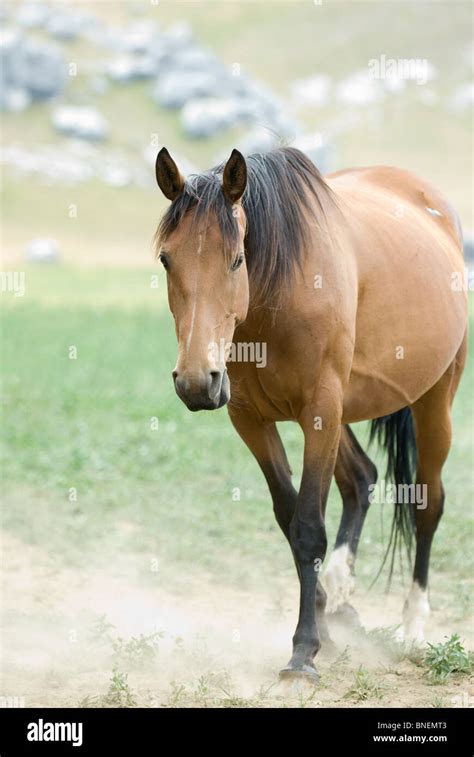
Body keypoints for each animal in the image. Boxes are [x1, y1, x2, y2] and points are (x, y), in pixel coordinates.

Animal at [153, 145, 466, 684]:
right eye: (166, 259)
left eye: (237, 259)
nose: (195, 381)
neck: (276, 297)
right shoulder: (251, 420)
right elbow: (289, 515)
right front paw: (323, 617)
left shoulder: (319, 411)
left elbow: (308, 529)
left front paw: (303, 651)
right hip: (344, 412)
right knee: (361, 478)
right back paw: (340, 598)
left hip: (432, 403)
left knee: (428, 505)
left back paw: (412, 627)